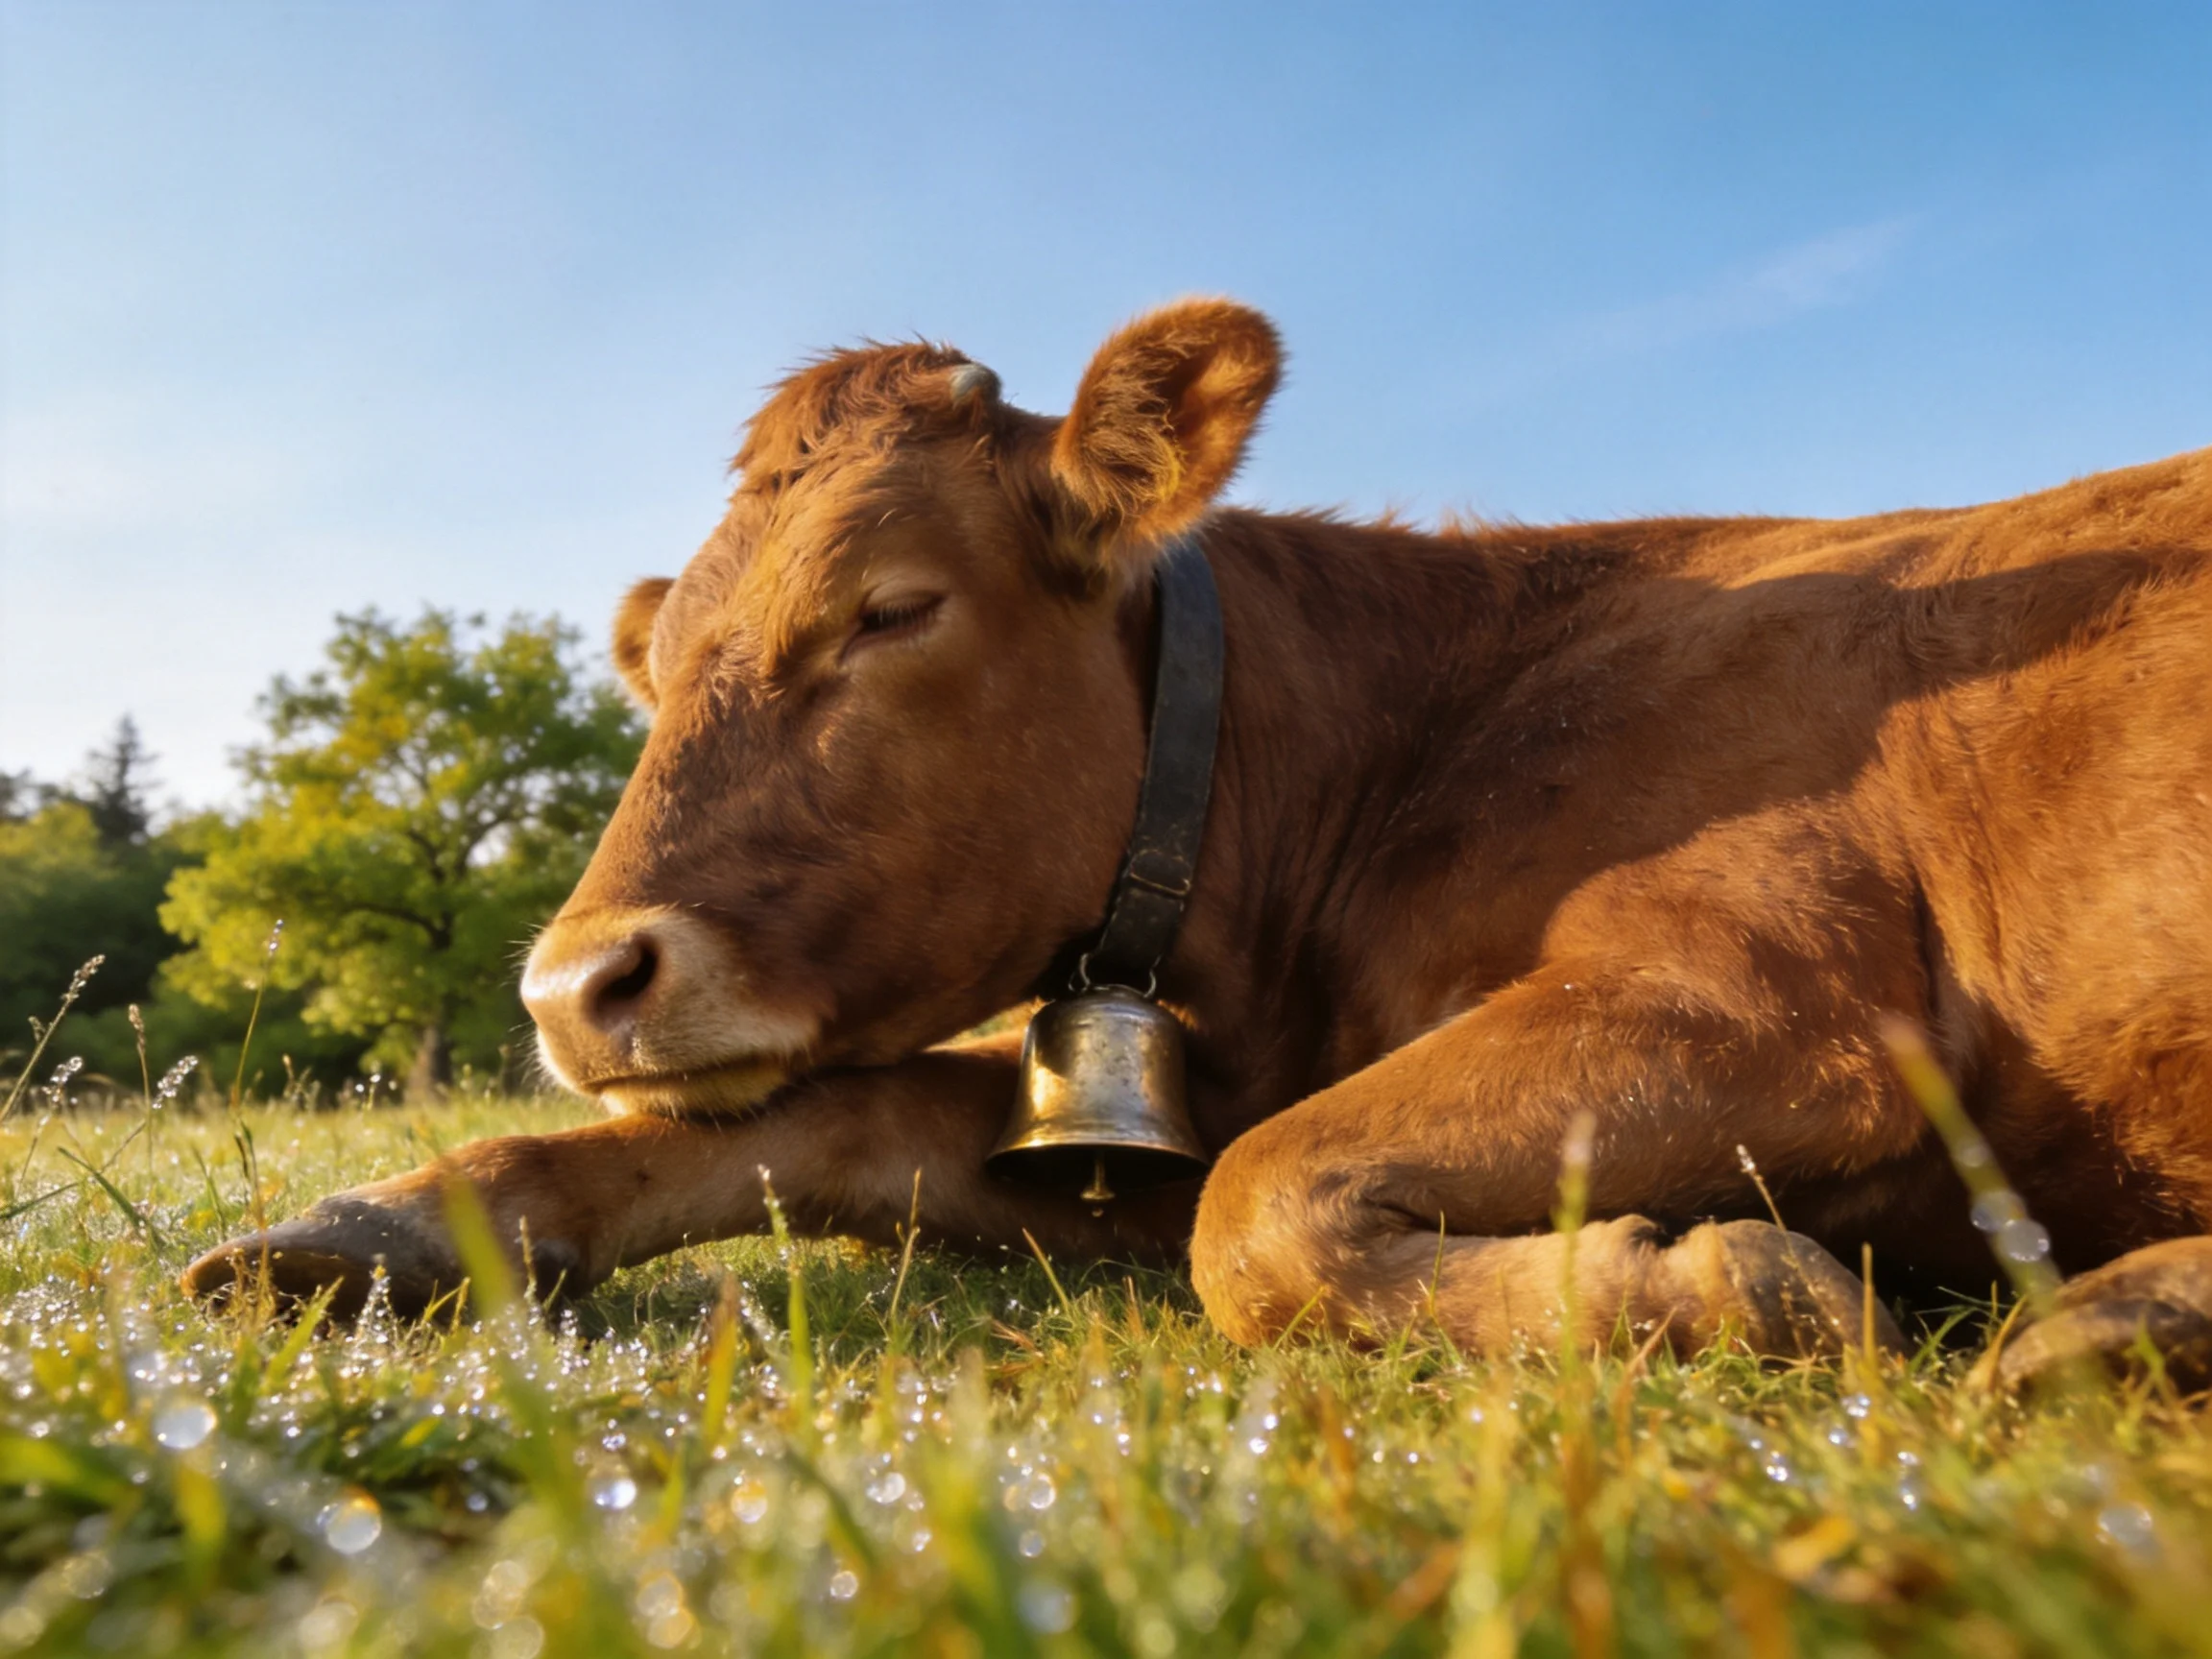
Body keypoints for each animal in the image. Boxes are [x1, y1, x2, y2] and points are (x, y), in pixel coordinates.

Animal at [186, 300, 2212, 1387]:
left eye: (887, 608)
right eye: (656, 656)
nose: (574, 986)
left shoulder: (1766, 998)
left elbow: (1260, 1208)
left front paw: (1717, 1280)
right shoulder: (1129, 1122)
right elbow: (825, 1118)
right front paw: (377, 1224)